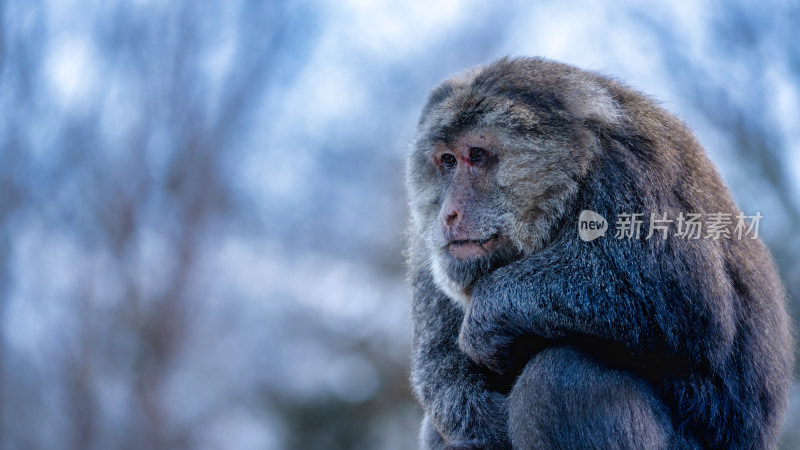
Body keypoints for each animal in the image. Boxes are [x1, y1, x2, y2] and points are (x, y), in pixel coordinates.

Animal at [406, 57, 792, 450]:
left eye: (477, 155)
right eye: (447, 161)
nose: (449, 214)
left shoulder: (631, 172)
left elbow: (692, 304)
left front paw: (490, 312)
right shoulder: (427, 246)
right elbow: (438, 368)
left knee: (562, 379)